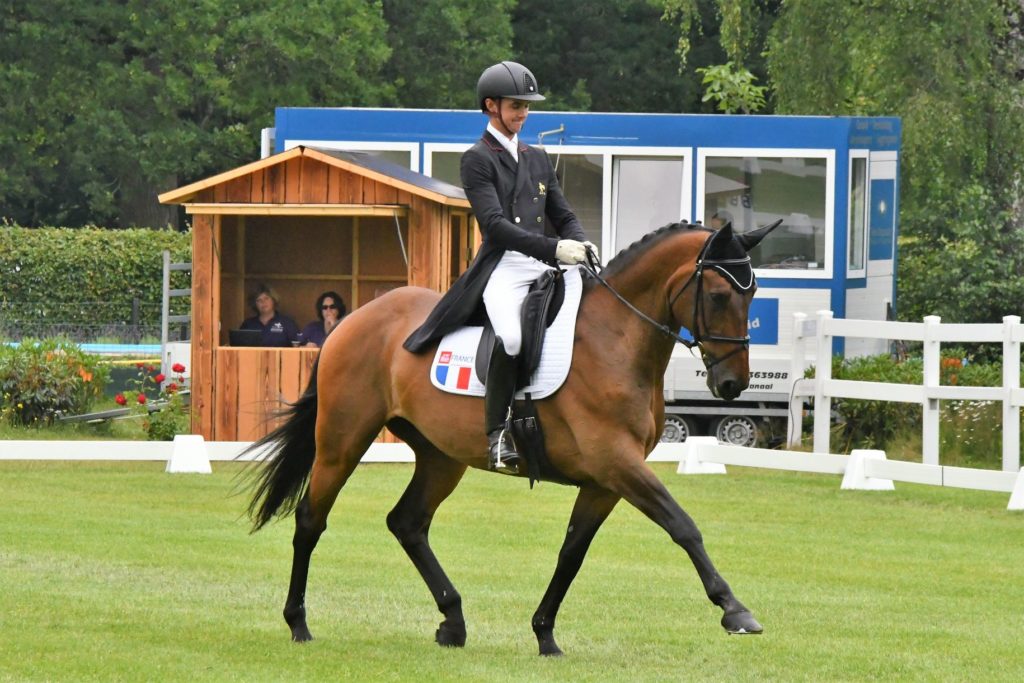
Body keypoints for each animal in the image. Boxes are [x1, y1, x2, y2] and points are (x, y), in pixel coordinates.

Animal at [243, 220, 778, 655]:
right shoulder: (618, 463)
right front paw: (735, 610)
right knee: (311, 519)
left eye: (752, 294)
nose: (732, 384)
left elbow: (572, 553)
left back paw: (453, 623)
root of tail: (354, 319)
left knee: (408, 522)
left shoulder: (605, 480)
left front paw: (545, 633)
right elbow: (682, 525)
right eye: (719, 296)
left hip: (441, 457)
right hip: (343, 440)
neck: (616, 339)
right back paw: (298, 624)